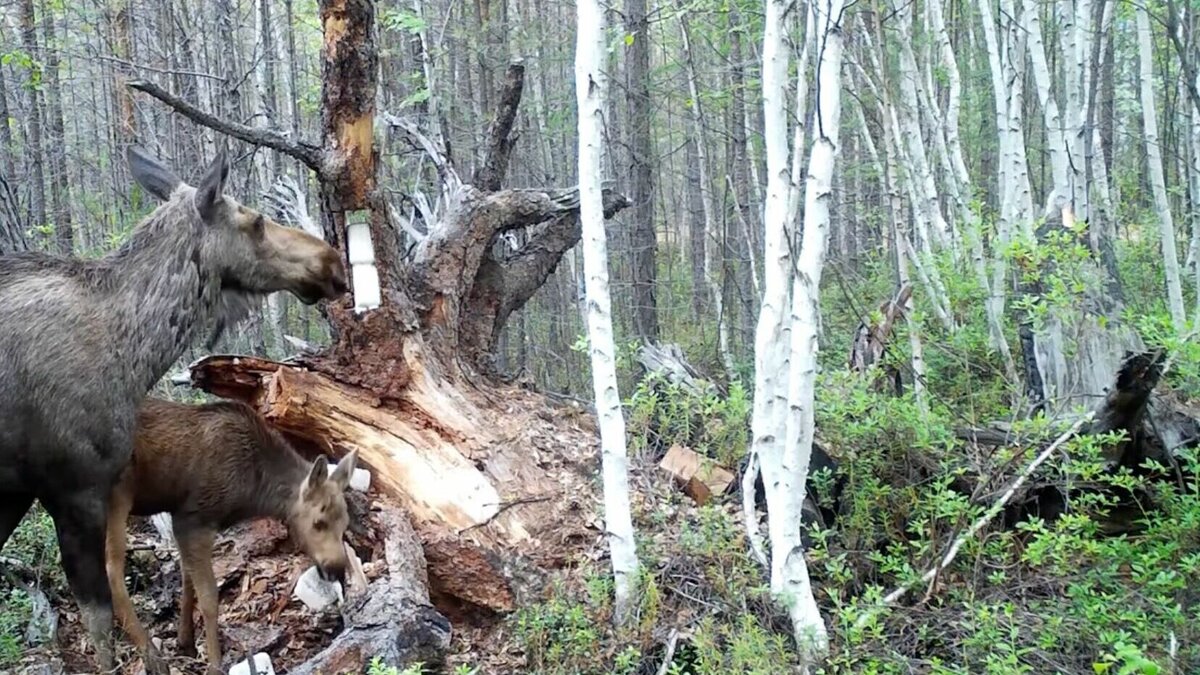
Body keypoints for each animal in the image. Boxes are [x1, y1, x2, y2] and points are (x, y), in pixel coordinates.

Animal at [108, 396, 355, 667]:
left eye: (345, 523)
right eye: (318, 522)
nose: (337, 570)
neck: (253, 491)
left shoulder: (181, 519)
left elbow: (187, 579)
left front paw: (186, 643)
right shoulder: (194, 519)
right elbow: (208, 597)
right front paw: (214, 664)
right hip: (116, 495)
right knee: (112, 570)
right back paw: (153, 658)